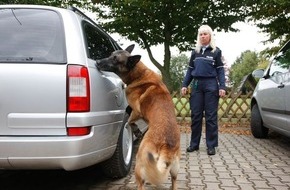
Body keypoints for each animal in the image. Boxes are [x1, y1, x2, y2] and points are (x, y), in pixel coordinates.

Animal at [96, 45, 180, 190]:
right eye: (110, 54)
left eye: (115, 59)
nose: (97, 62)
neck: (138, 75)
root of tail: (166, 144)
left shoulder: (136, 111)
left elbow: (129, 121)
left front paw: (136, 130)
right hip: (174, 169)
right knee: (173, 181)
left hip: (140, 162)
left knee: (141, 183)